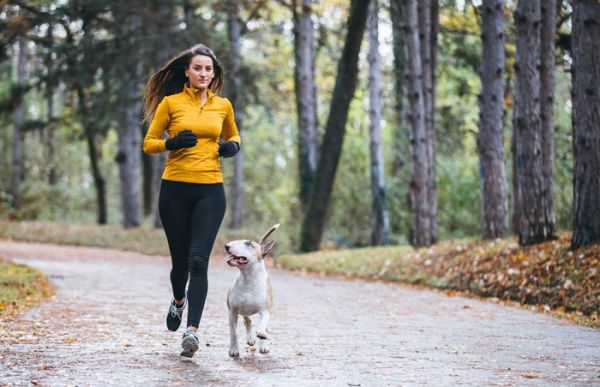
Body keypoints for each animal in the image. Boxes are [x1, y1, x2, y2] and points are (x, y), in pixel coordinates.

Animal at [226, 224, 280, 358]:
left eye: (248, 244)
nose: (227, 246)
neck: (248, 278)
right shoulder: (232, 311)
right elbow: (233, 332)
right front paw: (233, 350)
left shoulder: (265, 310)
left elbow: (263, 325)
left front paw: (262, 336)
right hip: (243, 311)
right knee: (248, 321)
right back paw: (250, 339)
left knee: (261, 325)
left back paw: (263, 344)